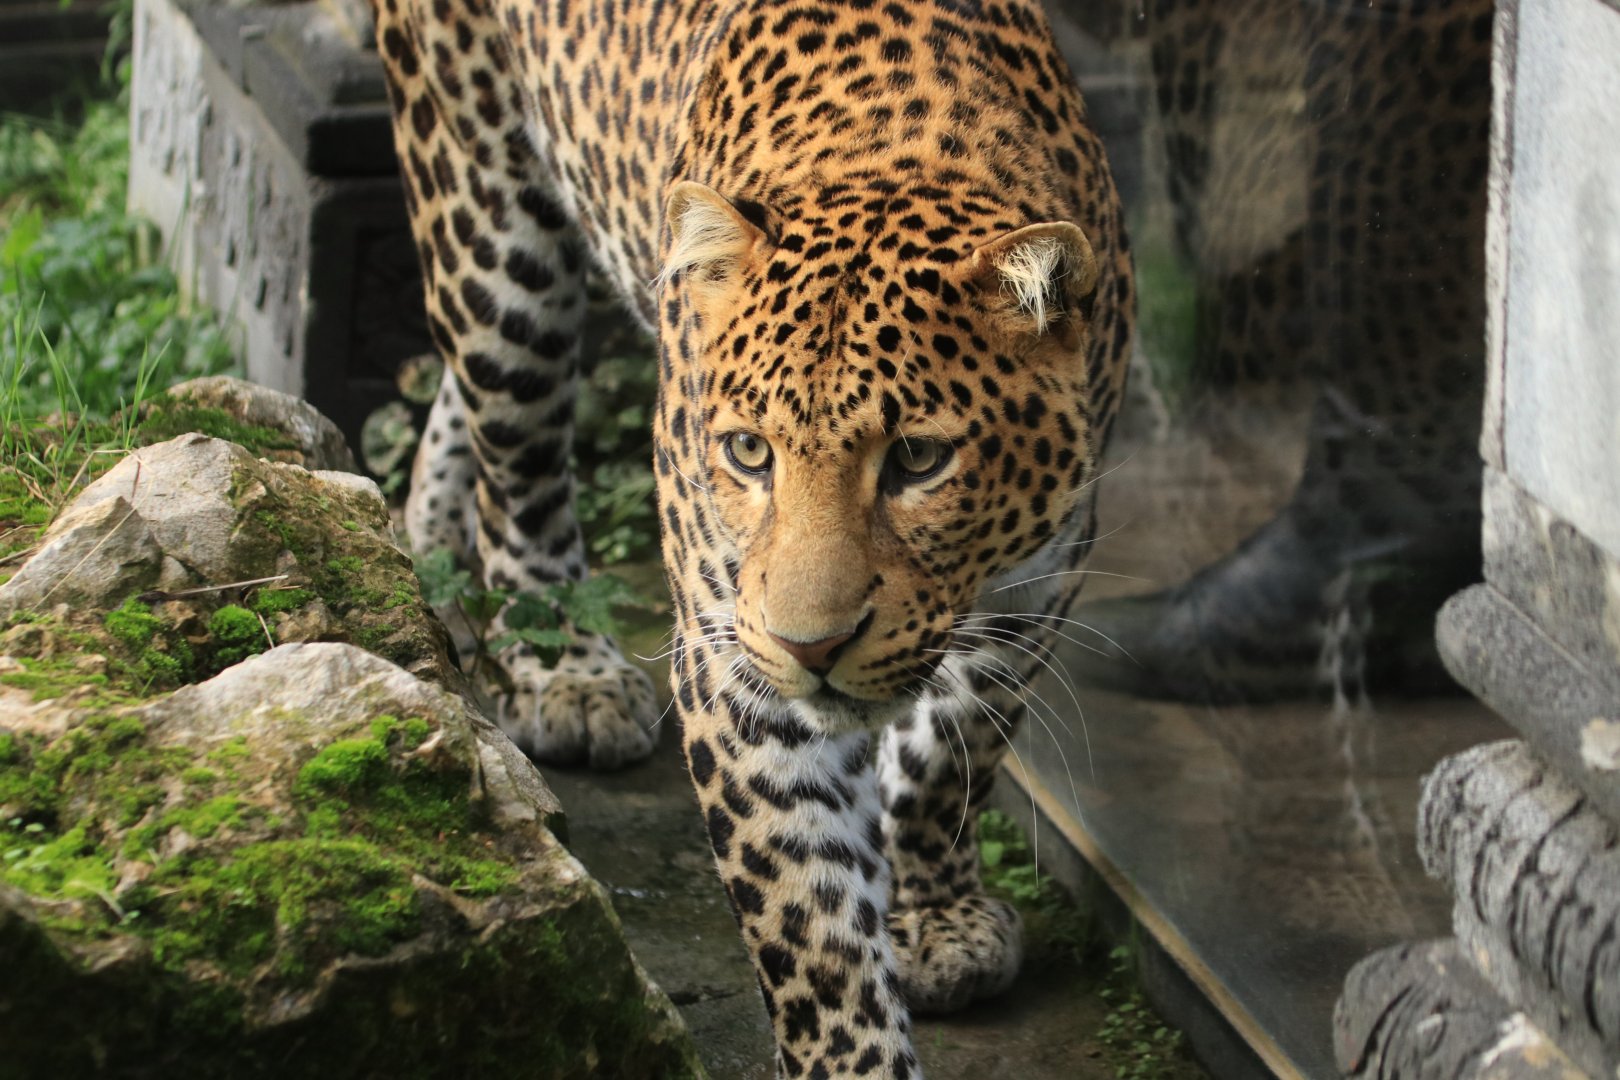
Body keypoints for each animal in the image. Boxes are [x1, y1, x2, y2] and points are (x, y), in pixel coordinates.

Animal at [370, 0, 1134, 1073]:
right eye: (746, 451)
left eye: (918, 459)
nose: (812, 648)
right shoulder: (735, 659)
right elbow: (809, 923)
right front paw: (856, 1044)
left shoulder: (1042, 579)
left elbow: (954, 752)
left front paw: (933, 916)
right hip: (483, 219)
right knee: (513, 458)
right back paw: (563, 667)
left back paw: (429, 544)